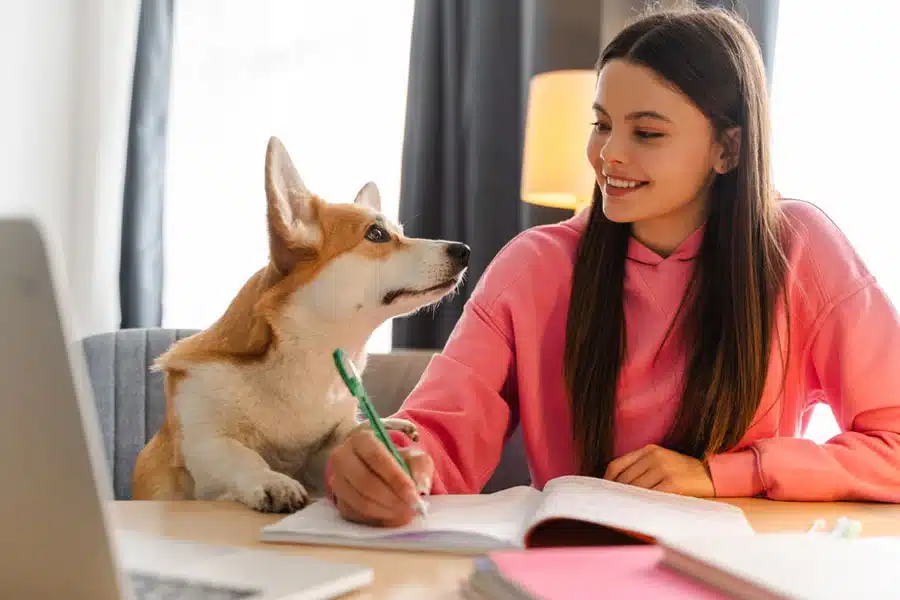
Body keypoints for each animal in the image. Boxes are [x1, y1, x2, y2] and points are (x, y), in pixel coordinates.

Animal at [135, 136, 472, 510]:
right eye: (377, 234)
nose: (464, 250)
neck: (314, 353)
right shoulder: (201, 439)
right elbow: (239, 454)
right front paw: (272, 481)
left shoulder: (324, 448)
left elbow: (342, 440)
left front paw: (382, 427)